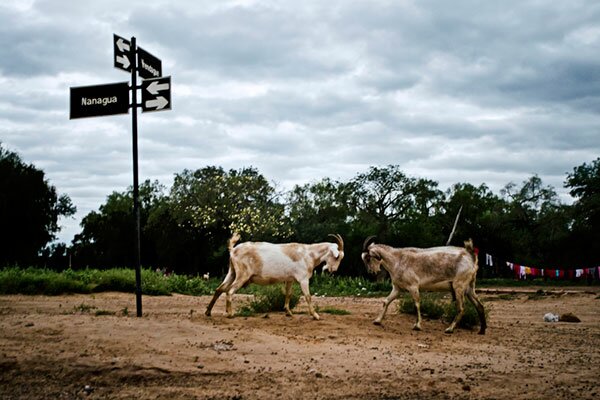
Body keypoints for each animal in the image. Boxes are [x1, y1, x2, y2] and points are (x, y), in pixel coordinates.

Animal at [206, 233, 344, 320]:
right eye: (337, 257)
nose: (334, 270)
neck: (309, 254)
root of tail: (233, 250)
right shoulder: (303, 279)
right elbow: (308, 296)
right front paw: (315, 315)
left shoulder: (289, 279)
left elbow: (288, 294)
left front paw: (288, 312)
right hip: (242, 275)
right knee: (229, 291)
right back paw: (230, 314)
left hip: (232, 272)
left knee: (219, 289)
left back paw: (210, 312)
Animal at [360, 238, 488, 334]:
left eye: (368, 257)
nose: (372, 273)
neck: (397, 259)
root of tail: (470, 256)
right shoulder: (397, 288)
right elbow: (386, 301)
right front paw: (377, 321)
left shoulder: (413, 286)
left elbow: (416, 304)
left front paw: (417, 326)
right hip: (469, 287)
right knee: (479, 305)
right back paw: (481, 331)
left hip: (459, 286)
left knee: (461, 308)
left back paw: (449, 329)